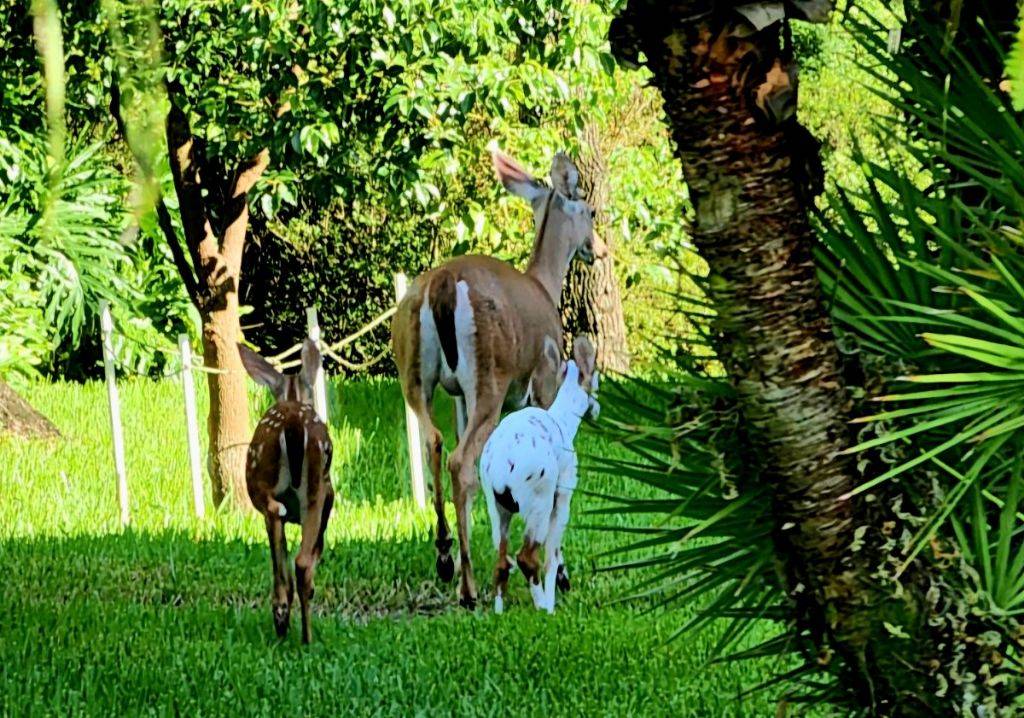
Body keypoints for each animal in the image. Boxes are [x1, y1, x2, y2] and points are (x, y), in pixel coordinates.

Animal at [239, 338, 335, 643]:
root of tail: (293, 420)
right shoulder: (329, 501)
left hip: (261, 482)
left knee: (276, 520)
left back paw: (283, 615)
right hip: (317, 490)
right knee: (302, 560)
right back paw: (305, 635)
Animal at [479, 335, 598, 610]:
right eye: (596, 379)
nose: (597, 409)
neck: (563, 420)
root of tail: (501, 467)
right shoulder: (562, 496)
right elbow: (553, 554)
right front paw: (553, 599)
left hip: (497, 509)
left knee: (501, 561)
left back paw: (498, 611)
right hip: (539, 503)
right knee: (526, 557)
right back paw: (543, 605)